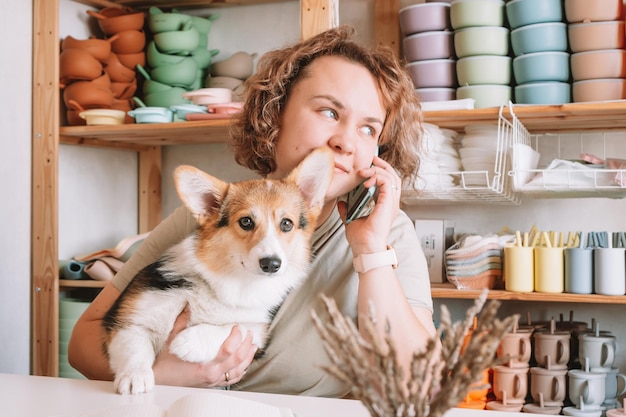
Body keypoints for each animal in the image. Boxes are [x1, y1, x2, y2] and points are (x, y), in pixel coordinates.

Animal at [102, 147, 334, 394]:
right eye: (246, 222)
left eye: (287, 224)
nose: (271, 264)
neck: (232, 281)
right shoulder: (127, 320)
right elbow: (134, 348)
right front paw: (134, 377)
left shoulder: (257, 333)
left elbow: (235, 327)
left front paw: (189, 341)